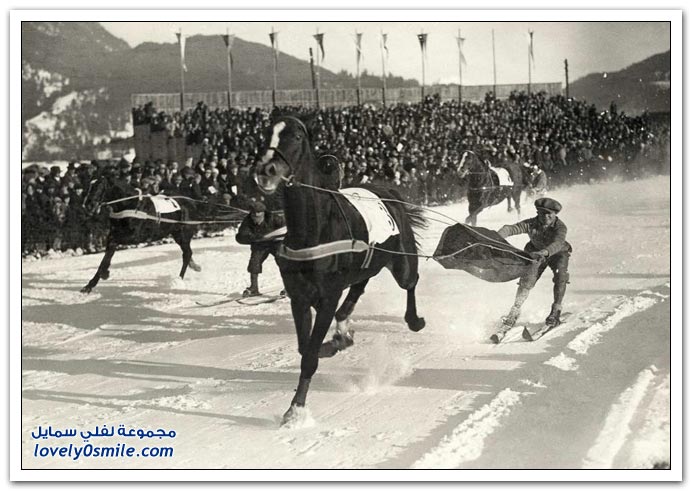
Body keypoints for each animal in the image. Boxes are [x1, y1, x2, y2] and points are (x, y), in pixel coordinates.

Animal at [255, 114, 427, 425]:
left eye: (296, 136)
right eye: (265, 133)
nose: (266, 170)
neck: (314, 229)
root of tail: (388, 190)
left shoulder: (327, 296)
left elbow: (310, 354)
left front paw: (296, 410)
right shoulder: (299, 297)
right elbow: (306, 347)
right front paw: (337, 341)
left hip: (402, 261)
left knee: (410, 281)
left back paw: (414, 320)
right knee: (359, 287)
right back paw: (344, 327)